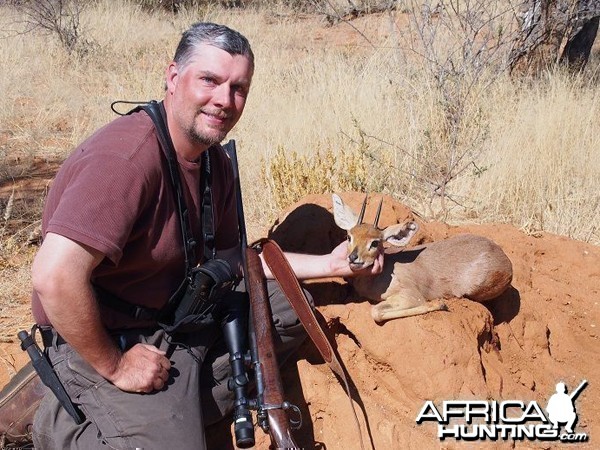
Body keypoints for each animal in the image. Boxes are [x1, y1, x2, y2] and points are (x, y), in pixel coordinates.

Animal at [330, 194, 512, 324]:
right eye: (349, 236)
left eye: (375, 242)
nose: (353, 258)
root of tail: (504, 258)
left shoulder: (411, 295)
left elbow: (376, 312)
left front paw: (438, 303)